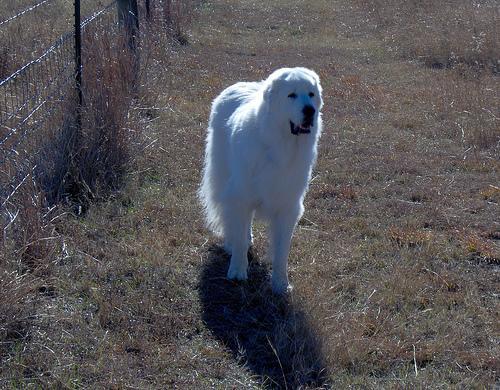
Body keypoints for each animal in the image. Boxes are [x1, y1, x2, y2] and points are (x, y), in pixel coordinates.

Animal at [200, 68, 324, 292]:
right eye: (291, 95)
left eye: (311, 94)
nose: (310, 110)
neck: (279, 147)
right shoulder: (240, 195)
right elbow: (240, 238)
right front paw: (238, 271)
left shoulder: (288, 207)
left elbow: (282, 250)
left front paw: (280, 283)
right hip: (225, 179)